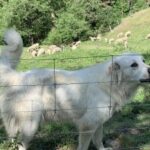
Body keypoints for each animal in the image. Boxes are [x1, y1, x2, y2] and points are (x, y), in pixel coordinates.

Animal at [0, 29, 150, 149]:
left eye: (143, 61)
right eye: (134, 65)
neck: (109, 83)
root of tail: (19, 77)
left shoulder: (97, 123)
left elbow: (98, 140)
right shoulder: (87, 125)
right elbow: (84, 146)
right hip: (30, 126)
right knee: (21, 145)